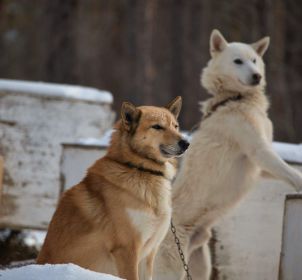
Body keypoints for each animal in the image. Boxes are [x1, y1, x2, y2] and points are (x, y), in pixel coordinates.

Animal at [36, 97, 189, 280]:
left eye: (176, 126)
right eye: (157, 127)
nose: (186, 143)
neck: (140, 169)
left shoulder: (149, 253)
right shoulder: (127, 249)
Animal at [152, 29, 302, 278]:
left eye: (254, 60)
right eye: (237, 61)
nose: (256, 76)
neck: (234, 99)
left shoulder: (259, 166)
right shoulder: (258, 150)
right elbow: (292, 173)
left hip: (200, 263)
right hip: (172, 267)